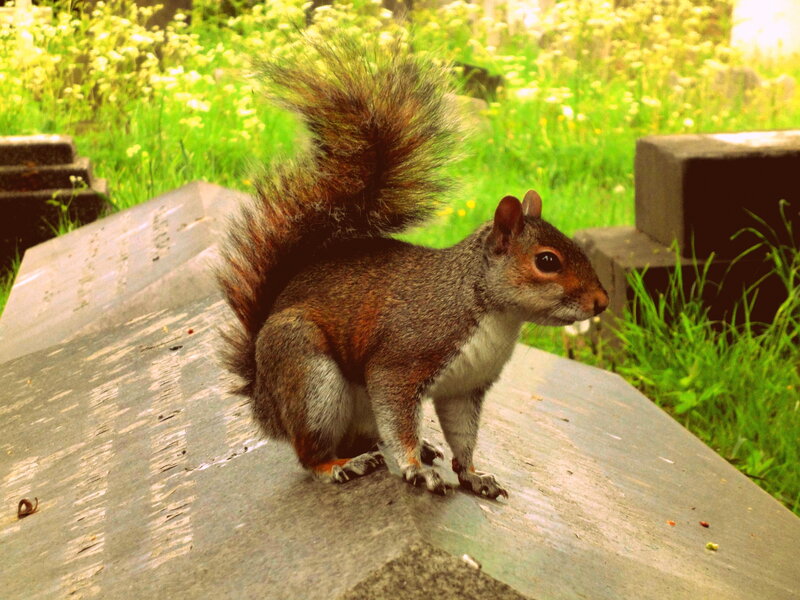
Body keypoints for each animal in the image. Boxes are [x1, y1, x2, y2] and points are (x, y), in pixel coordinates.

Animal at [217, 40, 609, 499]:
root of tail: (263, 398)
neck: (490, 311)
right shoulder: (401, 362)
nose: (602, 302)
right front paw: (414, 469)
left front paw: (473, 474)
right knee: (311, 452)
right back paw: (340, 466)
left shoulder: (465, 388)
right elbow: (398, 416)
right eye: (547, 261)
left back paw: (415, 447)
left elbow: (463, 436)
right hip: (308, 375)